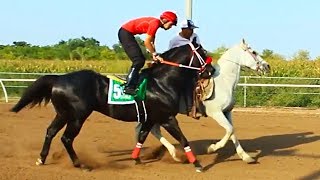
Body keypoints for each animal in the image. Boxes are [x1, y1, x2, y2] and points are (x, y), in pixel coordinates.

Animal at [11, 40, 214, 172]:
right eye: (203, 52)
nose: (211, 70)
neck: (161, 82)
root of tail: (58, 79)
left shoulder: (150, 118)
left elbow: (142, 136)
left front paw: (136, 159)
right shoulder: (167, 118)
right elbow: (184, 139)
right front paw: (197, 164)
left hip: (63, 113)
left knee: (50, 132)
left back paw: (41, 159)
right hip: (77, 116)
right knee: (66, 138)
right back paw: (80, 165)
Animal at [139, 39, 272, 163]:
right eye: (254, 52)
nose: (267, 66)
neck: (224, 81)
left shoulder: (227, 112)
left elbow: (232, 131)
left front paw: (245, 156)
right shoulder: (216, 113)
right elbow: (229, 130)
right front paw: (212, 148)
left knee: (153, 130)